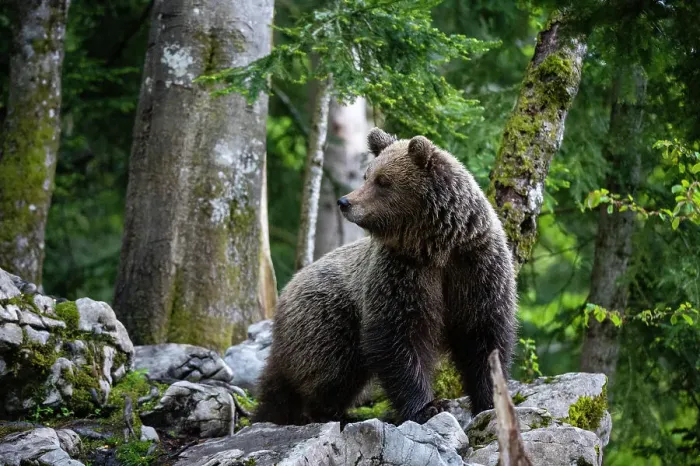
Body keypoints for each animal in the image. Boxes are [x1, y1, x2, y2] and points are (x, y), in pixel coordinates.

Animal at [252, 128, 517, 426]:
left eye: (383, 180)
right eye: (367, 175)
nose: (345, 202)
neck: (436, 247)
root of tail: (287, 290)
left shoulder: (476, 266)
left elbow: (483, 336)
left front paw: (491, 400)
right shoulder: (402, 273)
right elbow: (398, 337)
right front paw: (427, 406)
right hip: (328, 318)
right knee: (329, 370)